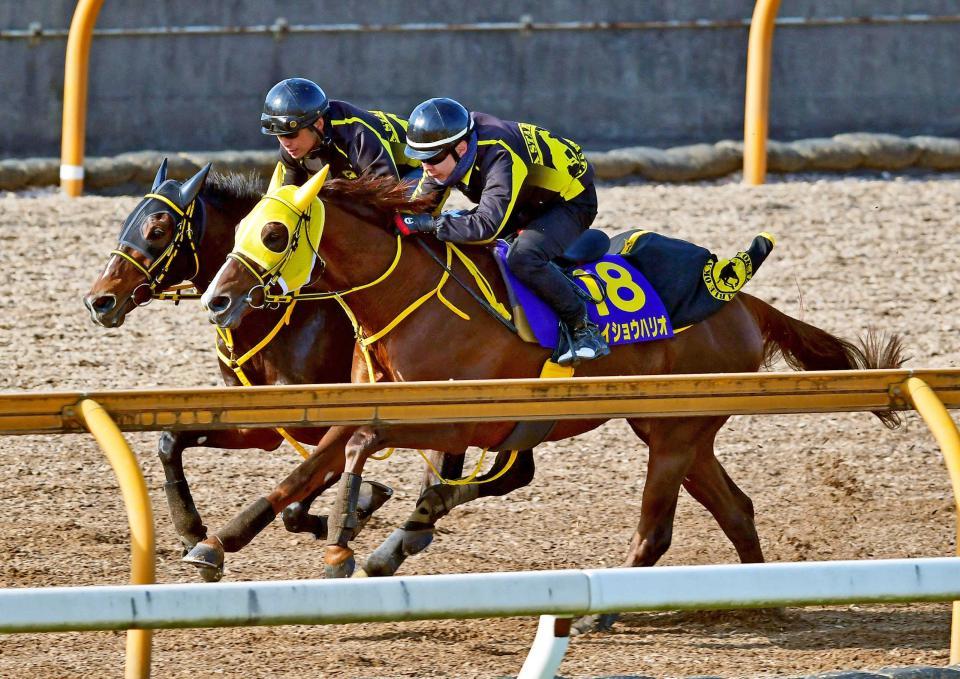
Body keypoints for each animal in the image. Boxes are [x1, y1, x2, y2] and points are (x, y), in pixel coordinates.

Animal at [84, 161, 532, 580]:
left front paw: (356, 508)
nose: (98, 300)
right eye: (126, 223)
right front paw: (191, 530)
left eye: (158, 230)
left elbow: (308, 486)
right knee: (506, 472)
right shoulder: (262, 426)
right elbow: (170, 442)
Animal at [193, 171, 900, 632]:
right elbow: (312, 464)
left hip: (674, 436)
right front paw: (221, 538)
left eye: (276, 233)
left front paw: (342, 545)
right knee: (737, 507)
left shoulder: (457, 420)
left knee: (657, 529)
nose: (217, 300)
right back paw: (763, 598)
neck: (409, 299)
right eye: (243, 226)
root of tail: (740, 297)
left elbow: (361, 450)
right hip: (674, 430)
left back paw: (601, 613)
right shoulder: (371, 404)